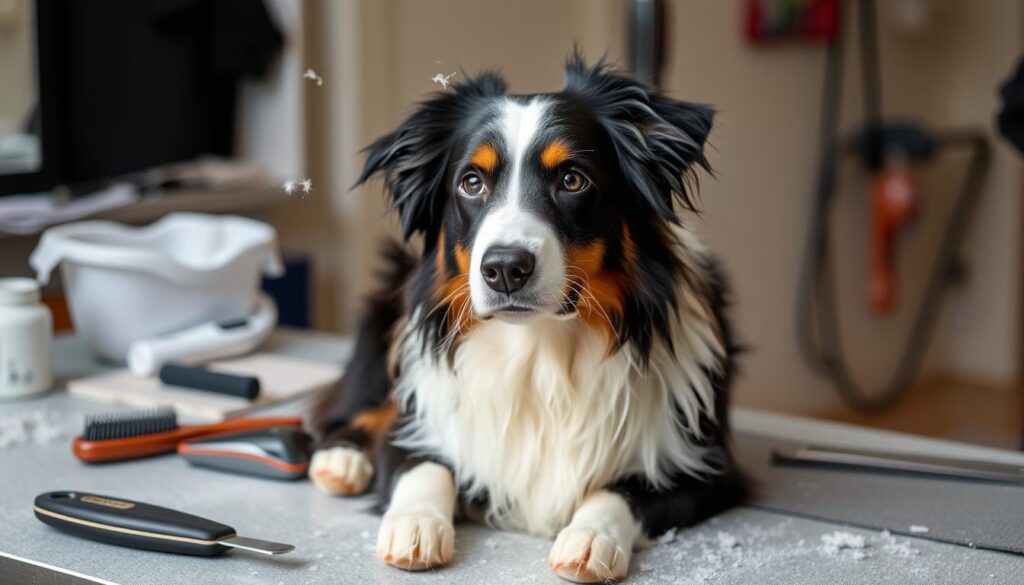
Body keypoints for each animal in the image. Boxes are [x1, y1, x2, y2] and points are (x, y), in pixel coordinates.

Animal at [303, 53, 745, 581]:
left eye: (572, 180)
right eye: (472, 182)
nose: (504, 269)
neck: (539, 353)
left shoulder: (708, 467)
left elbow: (623, 491)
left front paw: (590, 538)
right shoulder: (416, 423)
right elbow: (422, 464)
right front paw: (416, 525)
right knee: (343, 413)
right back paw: (342, 461)